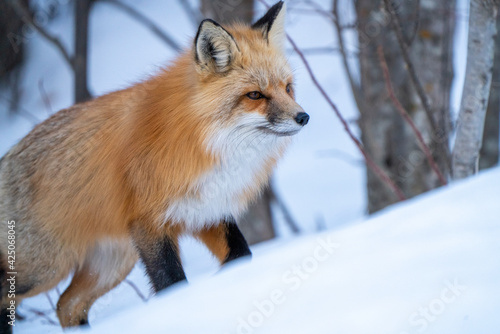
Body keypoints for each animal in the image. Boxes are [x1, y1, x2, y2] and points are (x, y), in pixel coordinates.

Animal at [0, 1, 306, 330]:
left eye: (288, 88)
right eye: (255, 95)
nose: (303, 117)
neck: (205, 142)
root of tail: (7, 156)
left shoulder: (207, 210)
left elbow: (242, 254)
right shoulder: (149, 223)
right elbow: (172, 282)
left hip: (112, 264)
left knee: (66, 305)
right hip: (45, 269)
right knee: (11, 294)